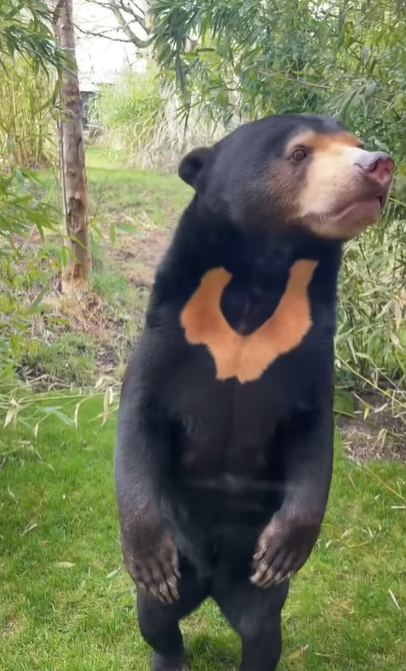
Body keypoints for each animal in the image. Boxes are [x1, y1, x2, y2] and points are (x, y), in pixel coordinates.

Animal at [114, 113, 393, 671]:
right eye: (300, 153)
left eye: (355, 143)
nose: (380, 164)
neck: (261, 278)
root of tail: (212, 586)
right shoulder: (168, 330)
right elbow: (138, 418)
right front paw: (145, 551)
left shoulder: (310, 350)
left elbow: (313, 436)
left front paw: (287, 547)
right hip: (180, 564)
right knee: (157, 618)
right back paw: (167, 648)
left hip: (255, 588)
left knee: (263, 634)